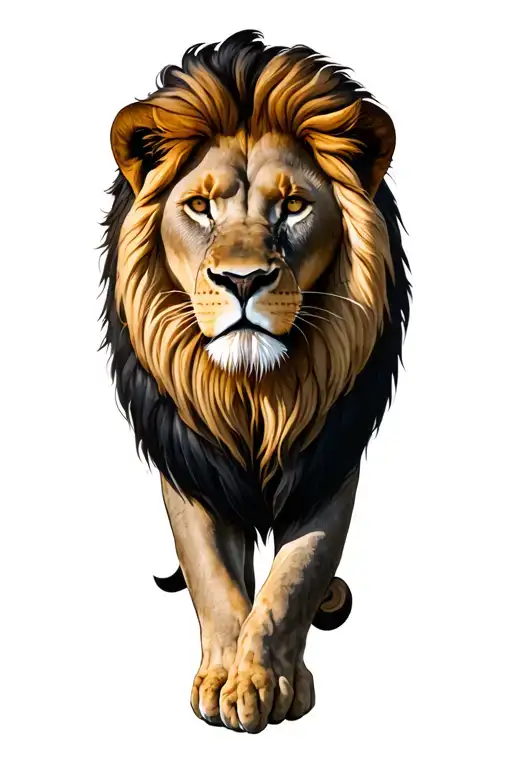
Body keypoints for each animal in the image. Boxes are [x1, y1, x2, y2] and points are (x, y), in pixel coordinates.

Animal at [100, 29, 410, 733]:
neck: (254, 395)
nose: (242, 281)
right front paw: (225, 678)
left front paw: (265, 679)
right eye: (199, 206)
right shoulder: (191, 458)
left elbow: (295, 574)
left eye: (293, 206)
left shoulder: (329, 458)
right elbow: (213, 574)